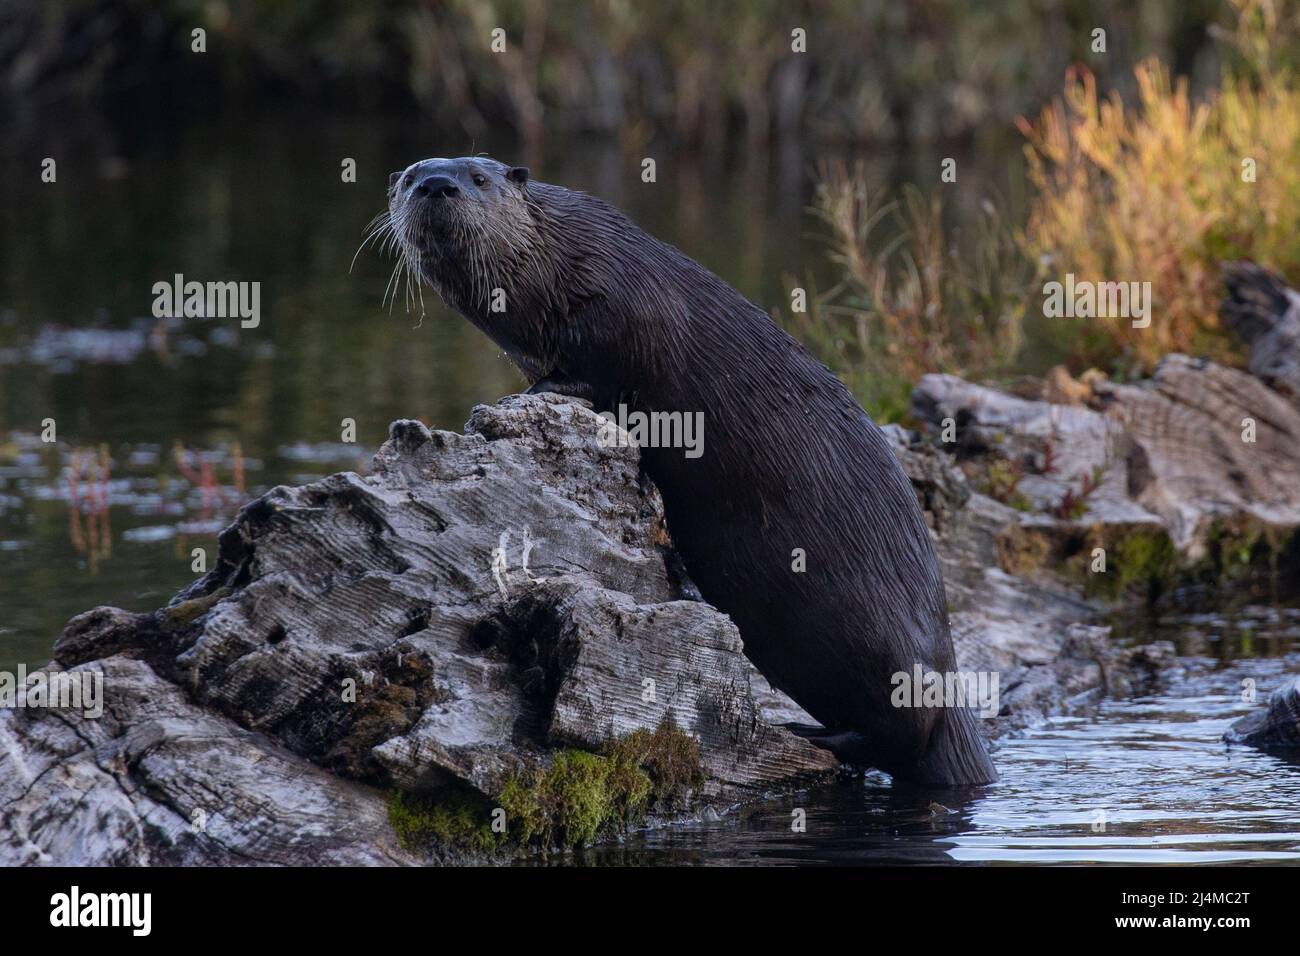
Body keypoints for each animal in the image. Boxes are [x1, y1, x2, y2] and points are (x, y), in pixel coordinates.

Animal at [382, 156, 996, 787]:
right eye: (408, 176)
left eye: (479, 178)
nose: (436, 184)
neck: (563, 261)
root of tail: (949, 677)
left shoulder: (622, 308)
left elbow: (595, 371)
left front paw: (522, 395)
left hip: (881, 647)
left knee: (901, 730)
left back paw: (808, 734)